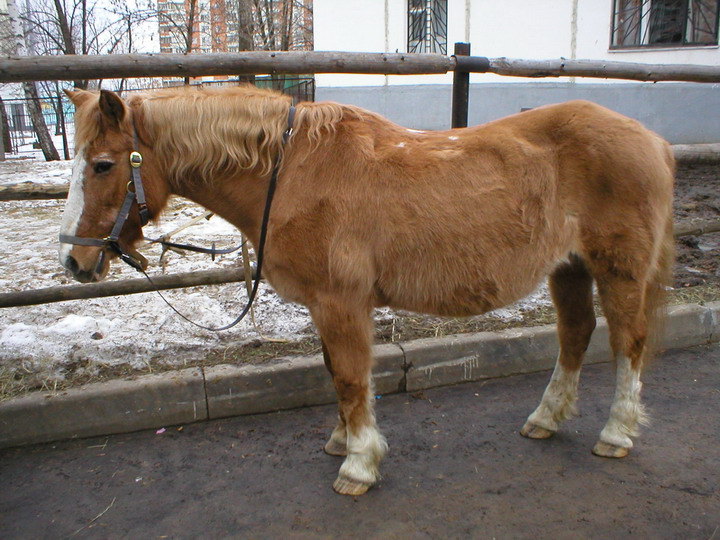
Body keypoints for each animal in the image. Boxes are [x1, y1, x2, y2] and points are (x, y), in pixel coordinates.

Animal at [57, 86, 676, 496]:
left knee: (629, 343)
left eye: (103, 164)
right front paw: (342, 441)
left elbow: (352, 378)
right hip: (568, 267)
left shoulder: (340, 302)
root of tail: (652, 139)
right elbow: (335, 372)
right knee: (575, 335)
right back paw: (546, 419)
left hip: (618, 270)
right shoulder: (323, 306)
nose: (75, 260)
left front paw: (358, 464)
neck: (292, 171)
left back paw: (617, 431)